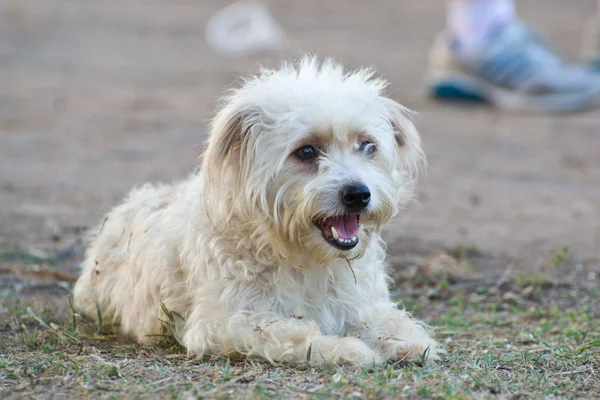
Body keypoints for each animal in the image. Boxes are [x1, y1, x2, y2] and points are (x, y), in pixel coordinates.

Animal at [74, 56, 440, 366]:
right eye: (306, 151)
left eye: (367, 145)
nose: (359, 194)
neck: (301, 256)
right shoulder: (224, 323)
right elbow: (296, 334)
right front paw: (344, 349)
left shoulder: (362, 304)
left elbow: (391, 322)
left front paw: (407, 342)